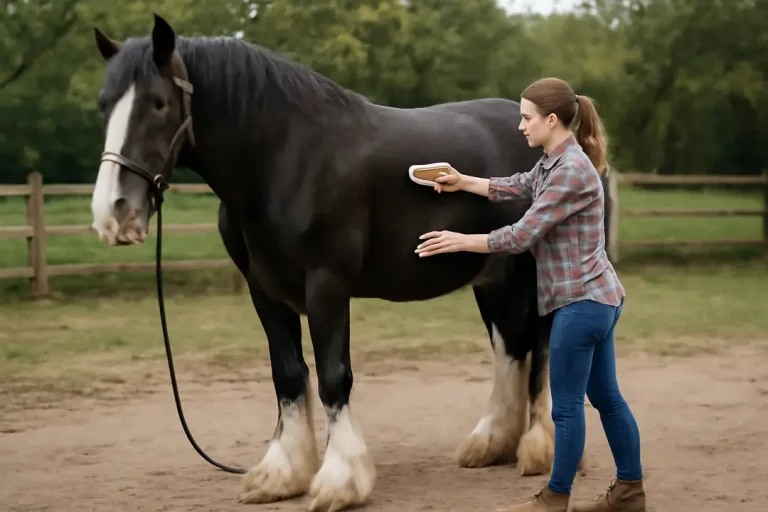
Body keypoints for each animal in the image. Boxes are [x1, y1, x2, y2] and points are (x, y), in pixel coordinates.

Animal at [89, 14, 595, 511]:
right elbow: (288, 375)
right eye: (103, 105)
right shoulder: (264, 290)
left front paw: (340, 480)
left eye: (157, 103)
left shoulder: (326, 284)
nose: (114, 213)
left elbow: (334, 376)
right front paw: (282, 474)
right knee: (510, 347)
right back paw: (490, 443)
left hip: (536, 274)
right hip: (493, 278)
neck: (284, 159)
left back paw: (538, 447)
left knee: (542, 350)